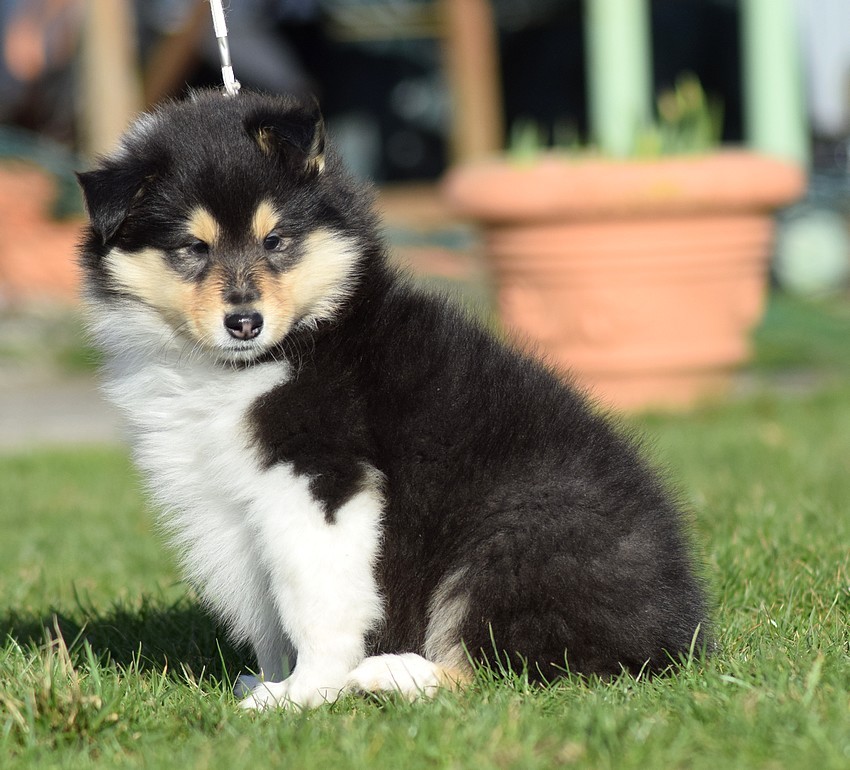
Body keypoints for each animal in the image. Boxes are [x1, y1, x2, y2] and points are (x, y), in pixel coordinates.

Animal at [79, 91, 704, 708]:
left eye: (275, 240)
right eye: (193, 247)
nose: (245, 322)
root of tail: (681, 633)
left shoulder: (320, 477)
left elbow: (311, 597)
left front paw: (301, 694)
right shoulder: (225, 503)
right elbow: (266, 606)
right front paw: (269, 679)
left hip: (515, 539)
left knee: (501, 666)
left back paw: (391, 674)